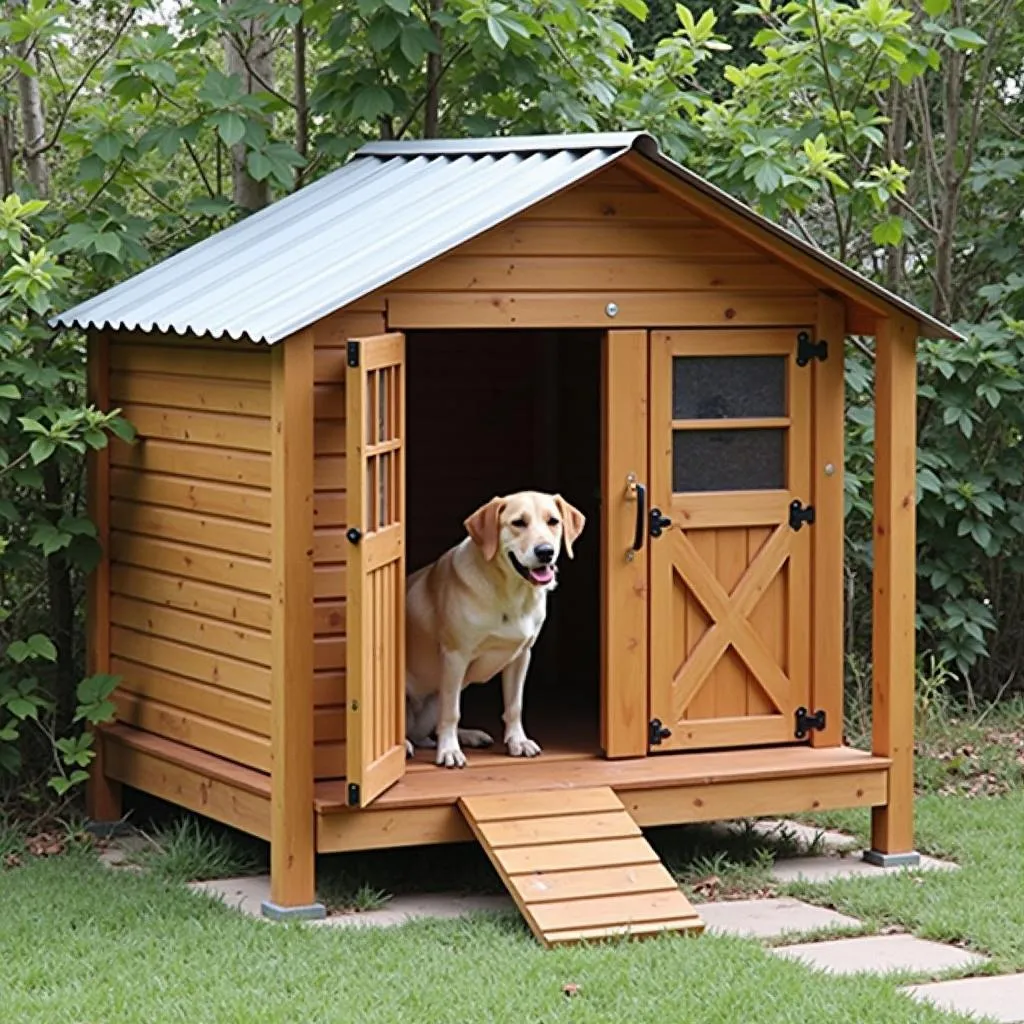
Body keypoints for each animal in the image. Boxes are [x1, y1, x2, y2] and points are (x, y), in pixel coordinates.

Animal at [405, 489, 585, 770]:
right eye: (518, 523)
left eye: (553, 521)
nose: (545, 551)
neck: (510, 593)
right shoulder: (455, 656)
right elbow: (452, 712)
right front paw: (449, 750)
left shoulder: (521, 655)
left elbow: (514, 706)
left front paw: (517, 741)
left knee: (424, 734)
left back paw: (468, 735)